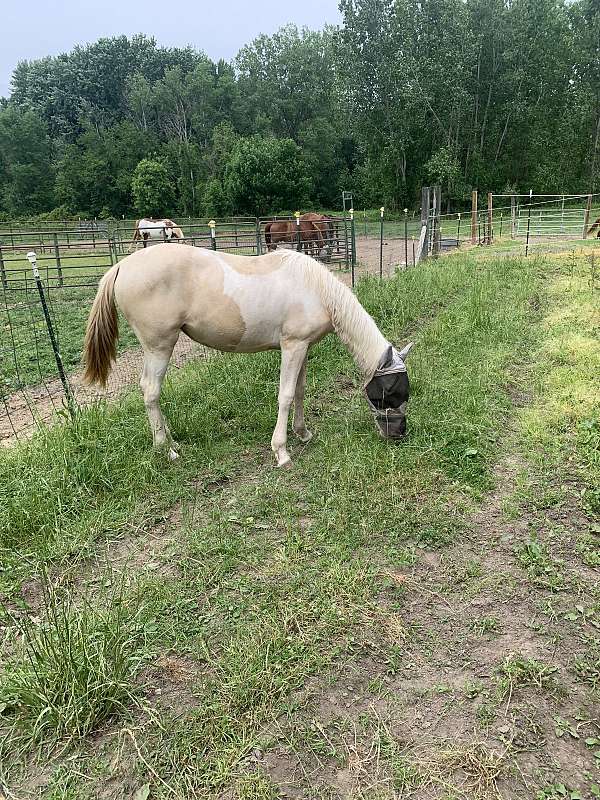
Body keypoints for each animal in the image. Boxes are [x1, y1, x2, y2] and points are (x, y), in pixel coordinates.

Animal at [83, 242, 412, 462]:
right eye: (390, 391)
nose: (398, 433)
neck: (315, 290)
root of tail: (122, 266)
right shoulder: (292, 346)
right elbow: (286, 395)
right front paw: (281, 451)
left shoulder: (304, 347)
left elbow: (300, 390)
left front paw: (303, 433)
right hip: (159, 346)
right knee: (151, 390)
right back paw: (167, 450)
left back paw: (170, 441)